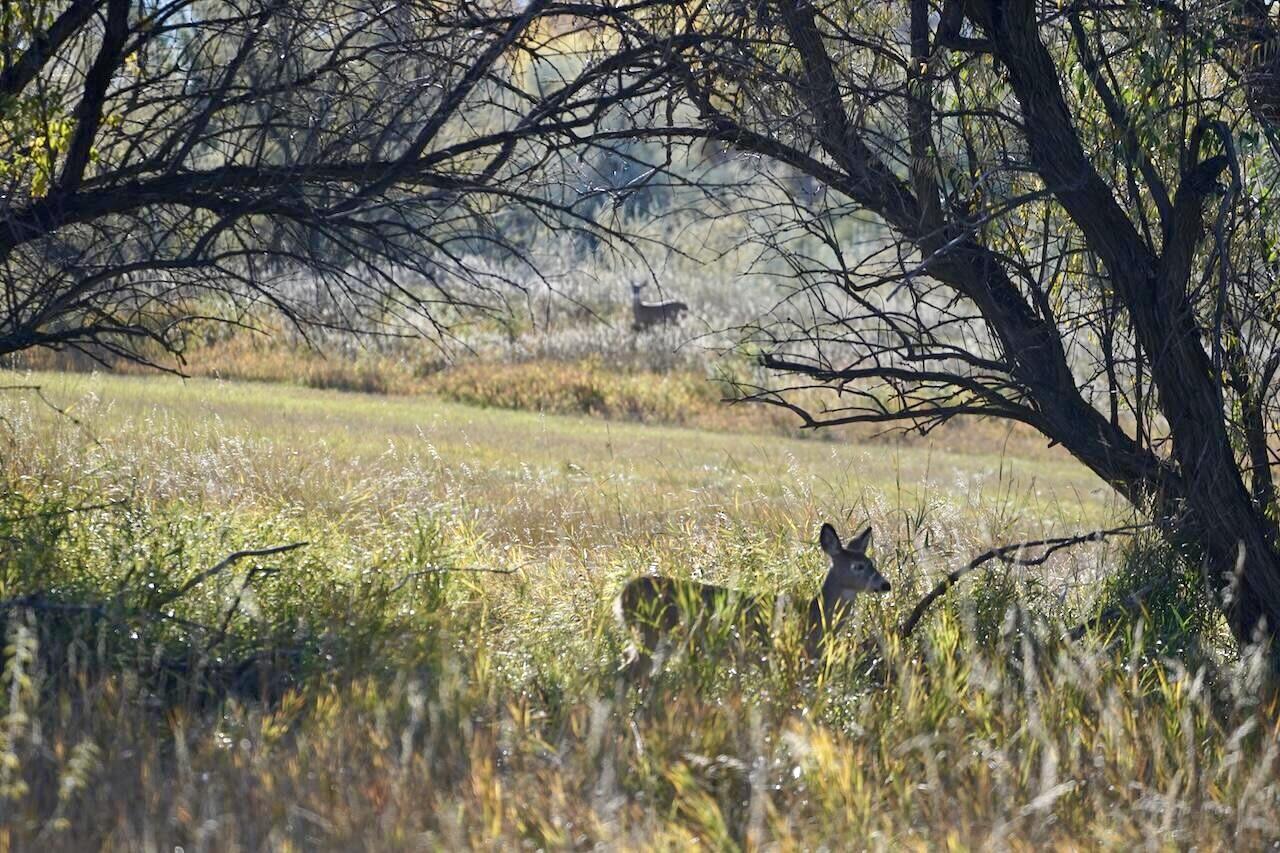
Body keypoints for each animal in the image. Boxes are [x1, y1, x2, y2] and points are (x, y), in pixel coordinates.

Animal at [615, 523, 890, 682]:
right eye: (858, 566)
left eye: (872, 563)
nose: (885, 584)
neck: (815, 616)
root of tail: (622, 596)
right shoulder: (782, 654)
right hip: (651, 633)